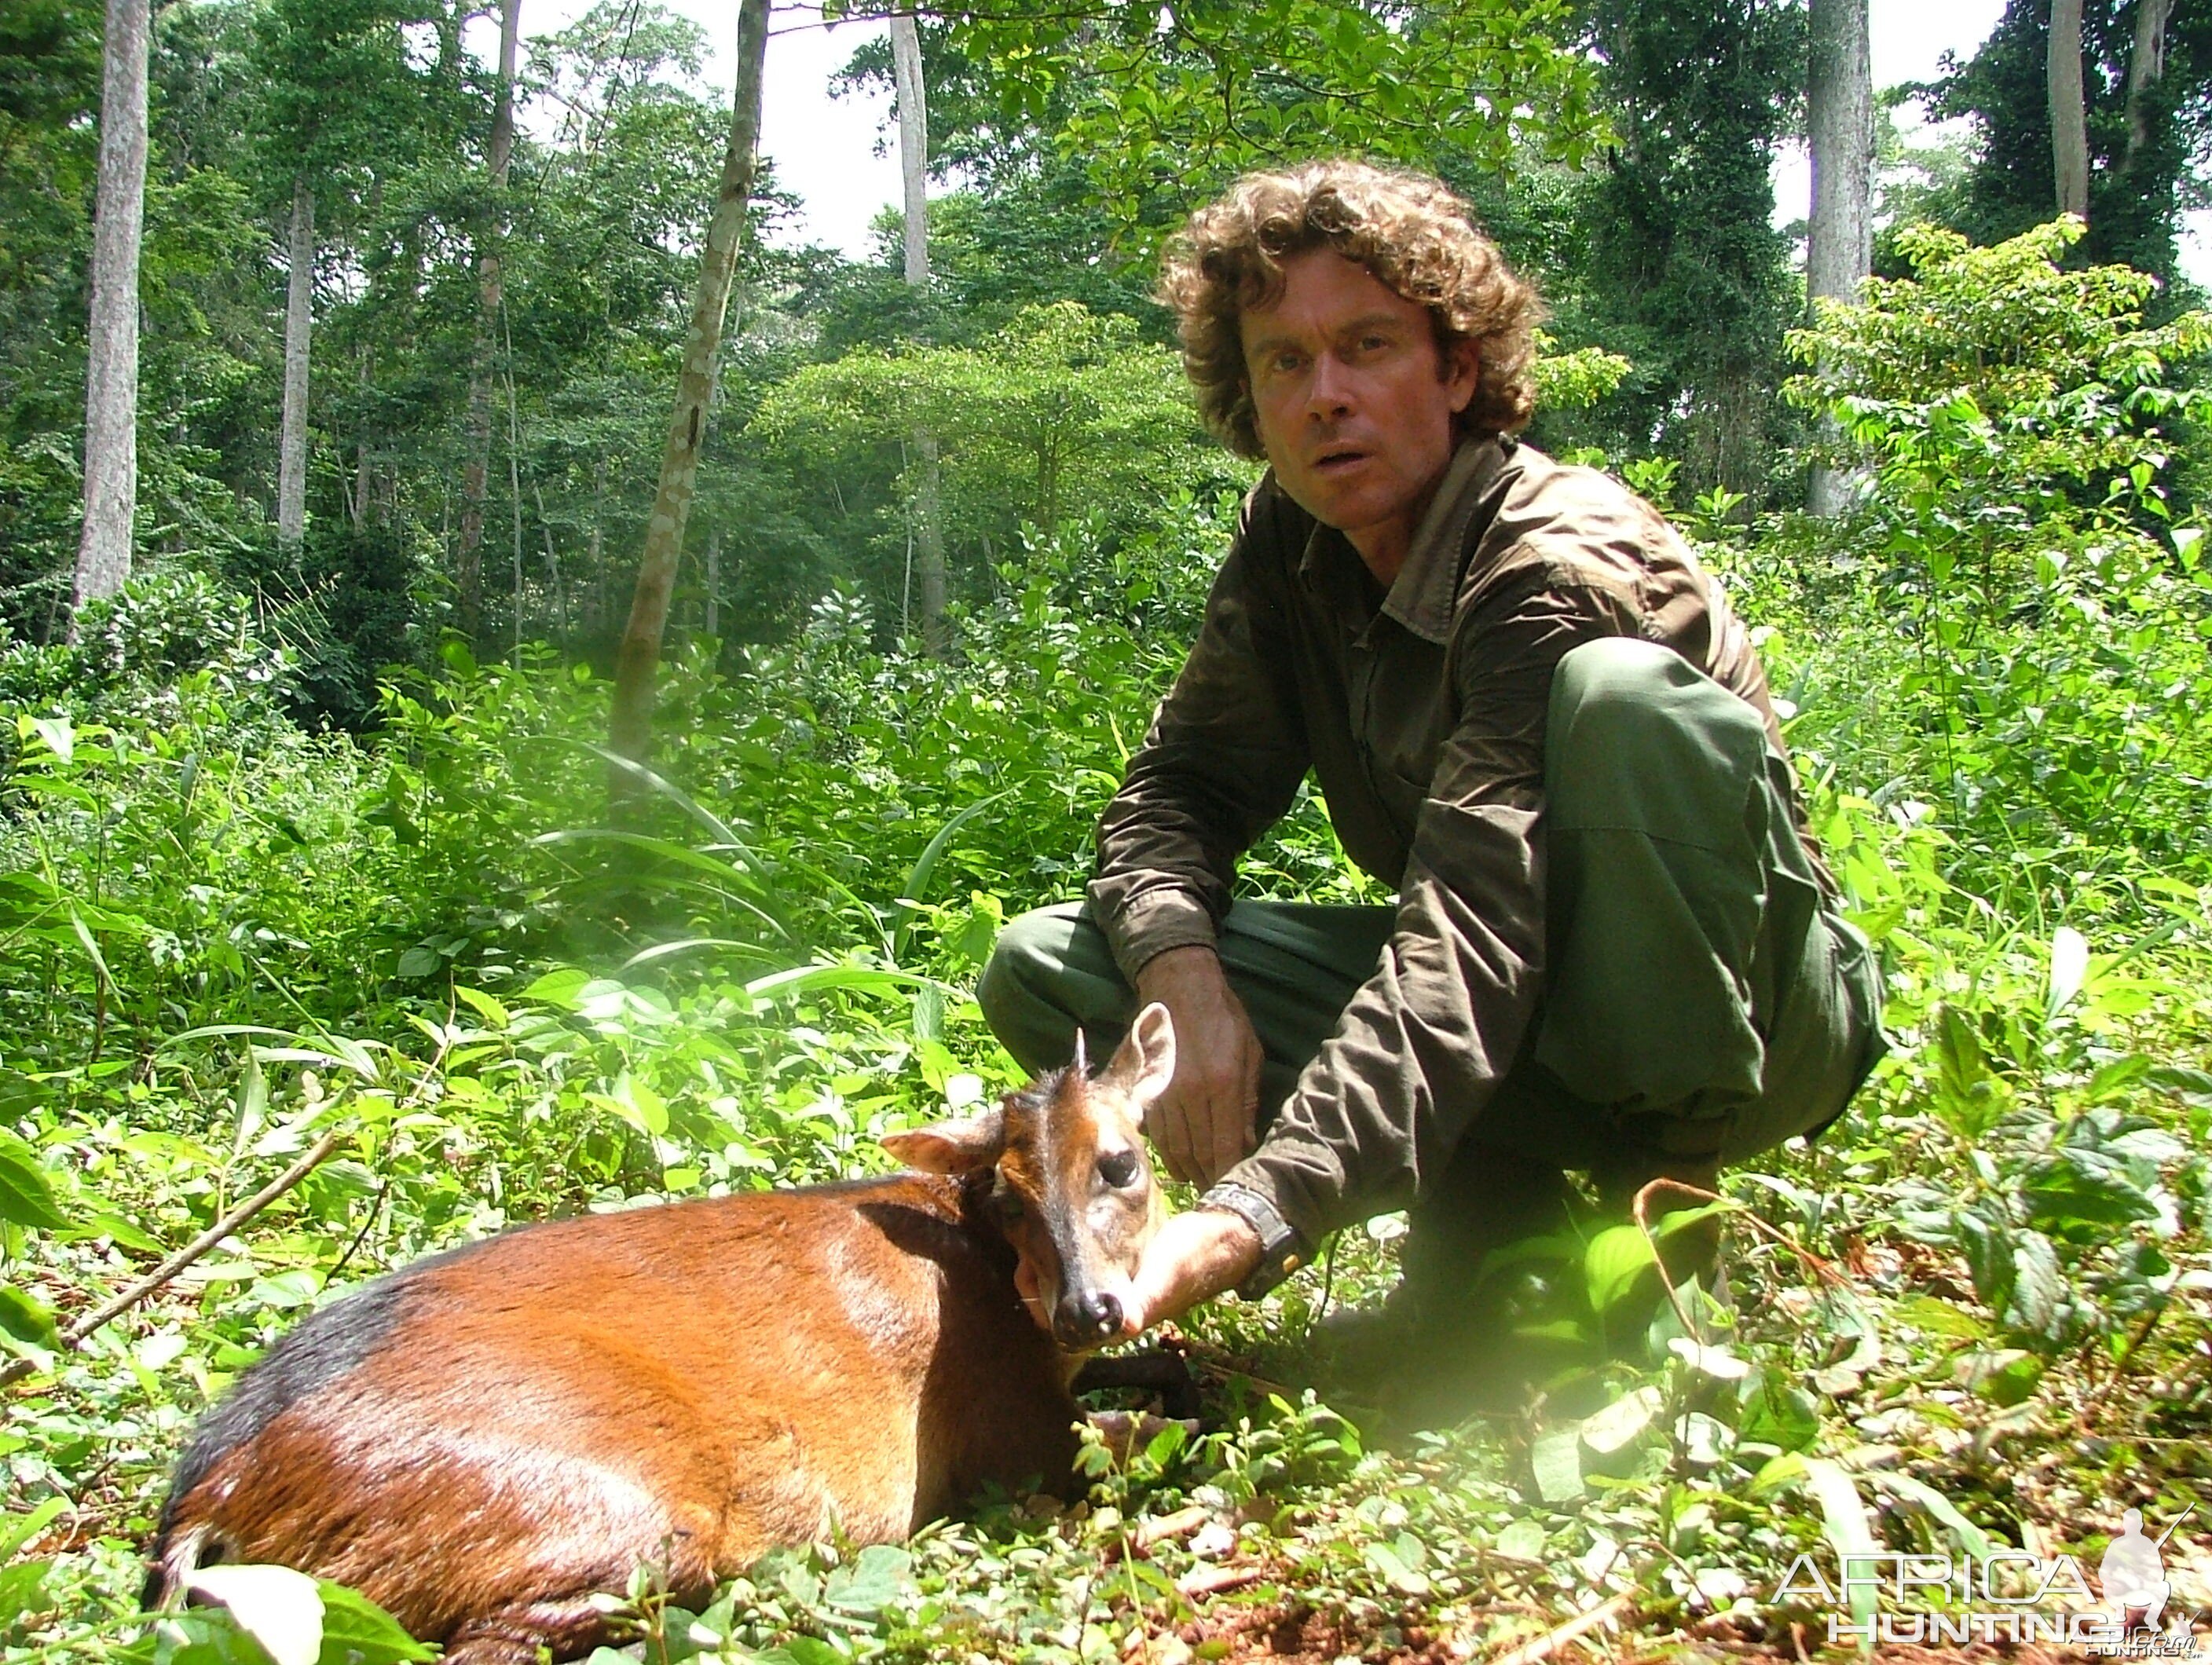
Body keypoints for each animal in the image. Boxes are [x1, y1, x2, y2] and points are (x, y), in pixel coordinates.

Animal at [147, 999, 1185, 1663]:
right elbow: (1153, 1425)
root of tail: (211, 1484)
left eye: (1120, 1162)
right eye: (1006, 1196)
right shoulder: (1010, 1437)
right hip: (613, 1514)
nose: (1086, 1306)